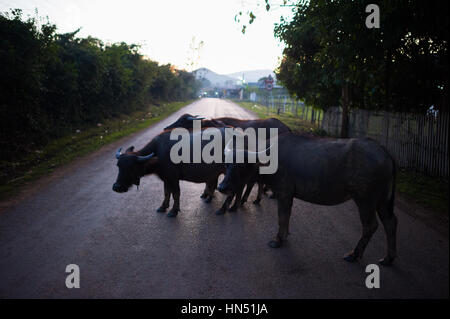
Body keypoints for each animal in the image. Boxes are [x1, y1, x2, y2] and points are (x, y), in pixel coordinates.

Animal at [218, 134, 398, 266]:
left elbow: (282, 217)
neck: (269, 161)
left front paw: (278, 240)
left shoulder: (284, 193)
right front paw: (285, 236)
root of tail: (386, 154)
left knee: (370, 226)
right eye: (227, 165)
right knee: (390, 222)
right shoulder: (289, 196)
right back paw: (388, 258)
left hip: (365, 199)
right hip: (383, 199)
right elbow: (287, 217)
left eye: (241, 166)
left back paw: (353, 255)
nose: (222, 187)